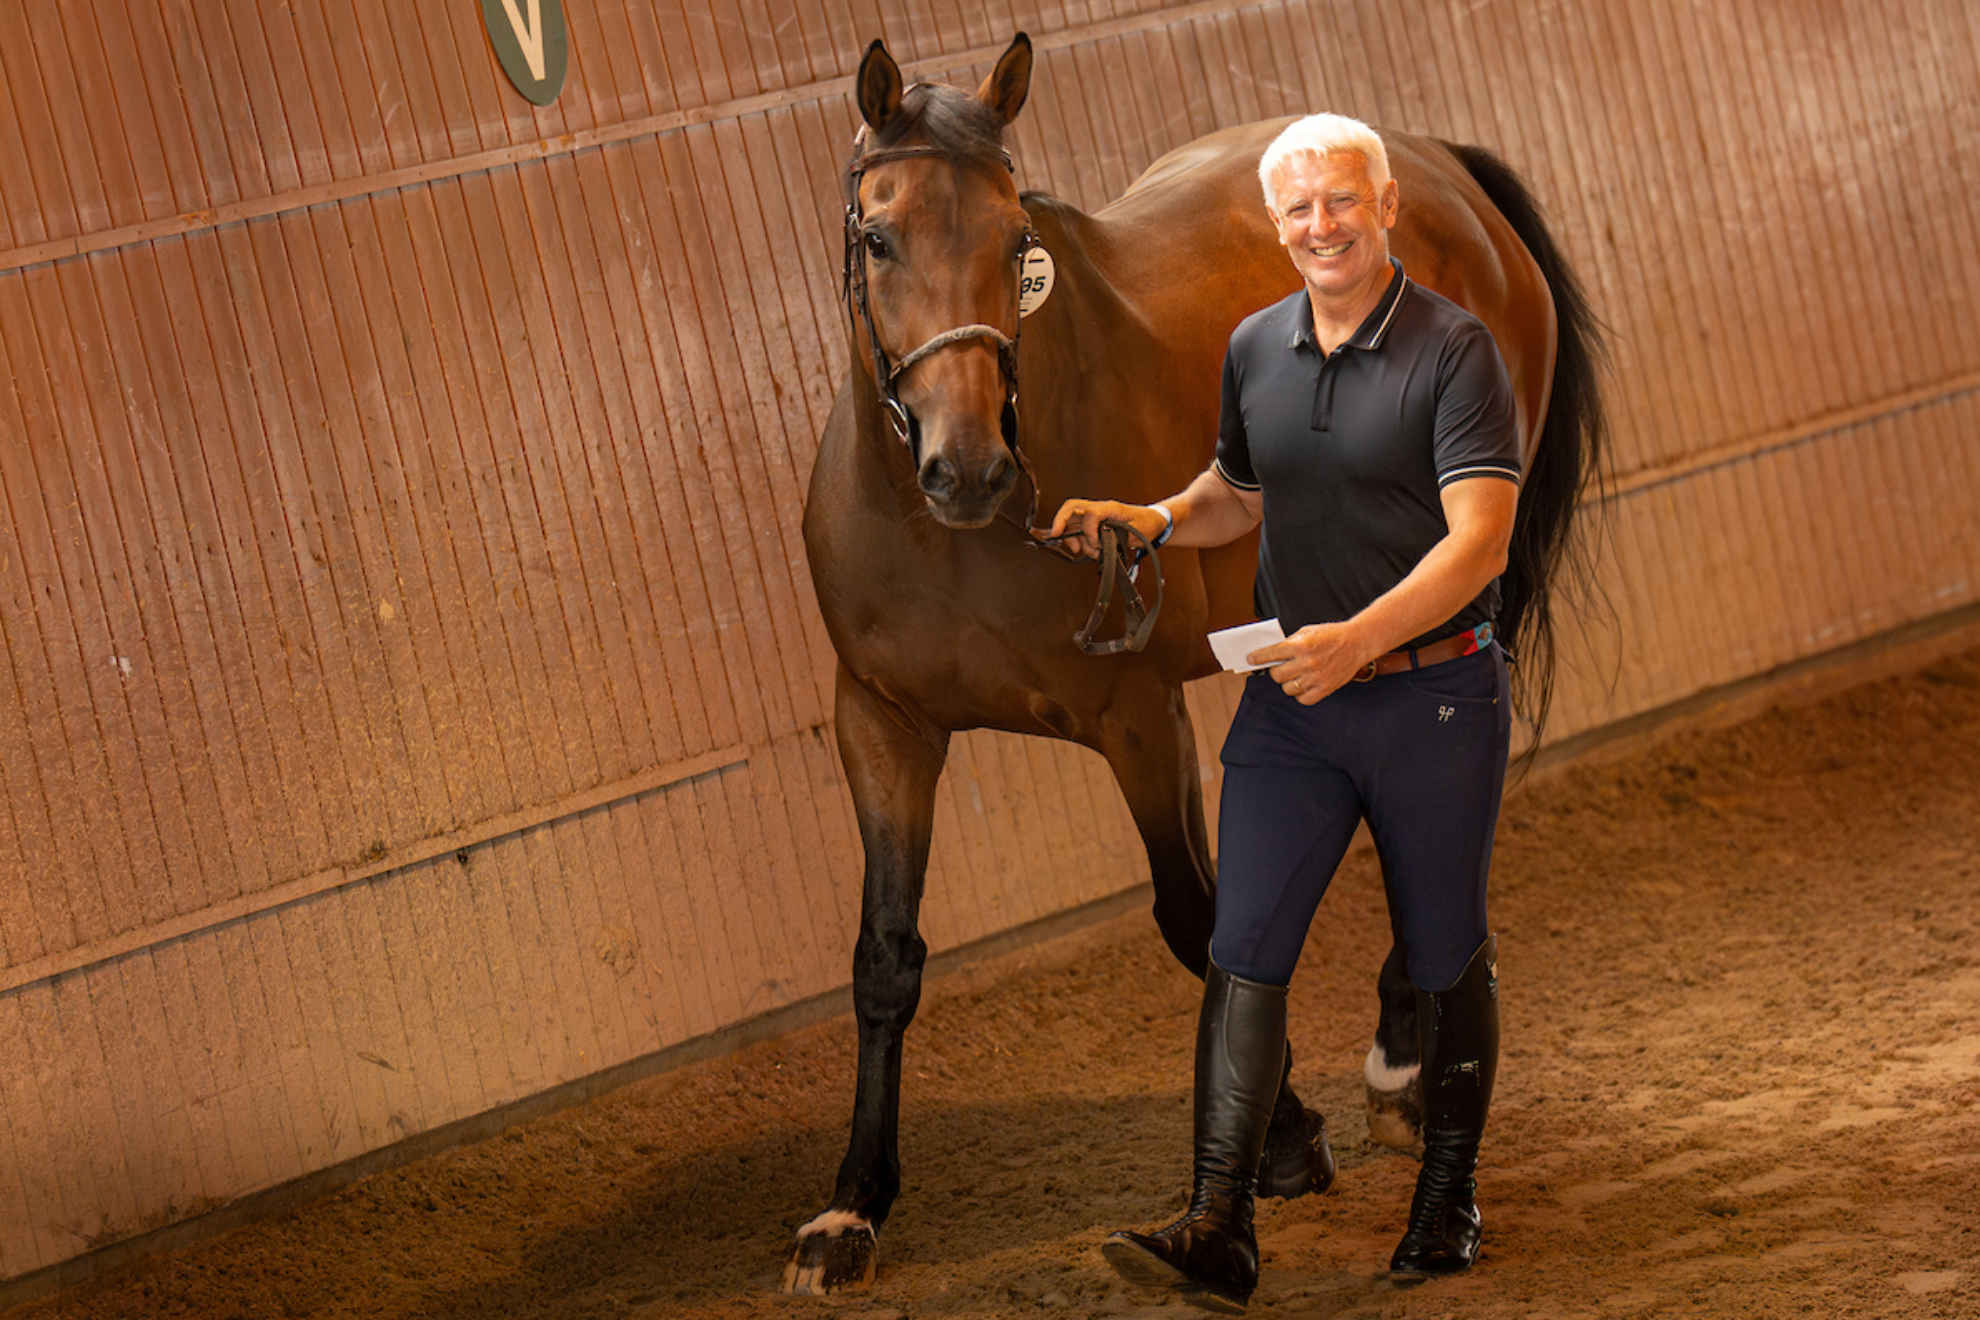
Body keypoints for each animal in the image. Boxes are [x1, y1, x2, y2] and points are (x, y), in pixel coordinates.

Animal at [780, 33, 1599, 1298]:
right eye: (878, 236)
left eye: (1016, 238)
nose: (967, 468)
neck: (954, 539)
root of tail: (1437, 165)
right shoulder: (881, 723)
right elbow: (884, 959)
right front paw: (852, 1206)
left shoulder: (1136, 715)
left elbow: (1195, 916)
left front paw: (1286, 1136)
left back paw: (1404, 1062)